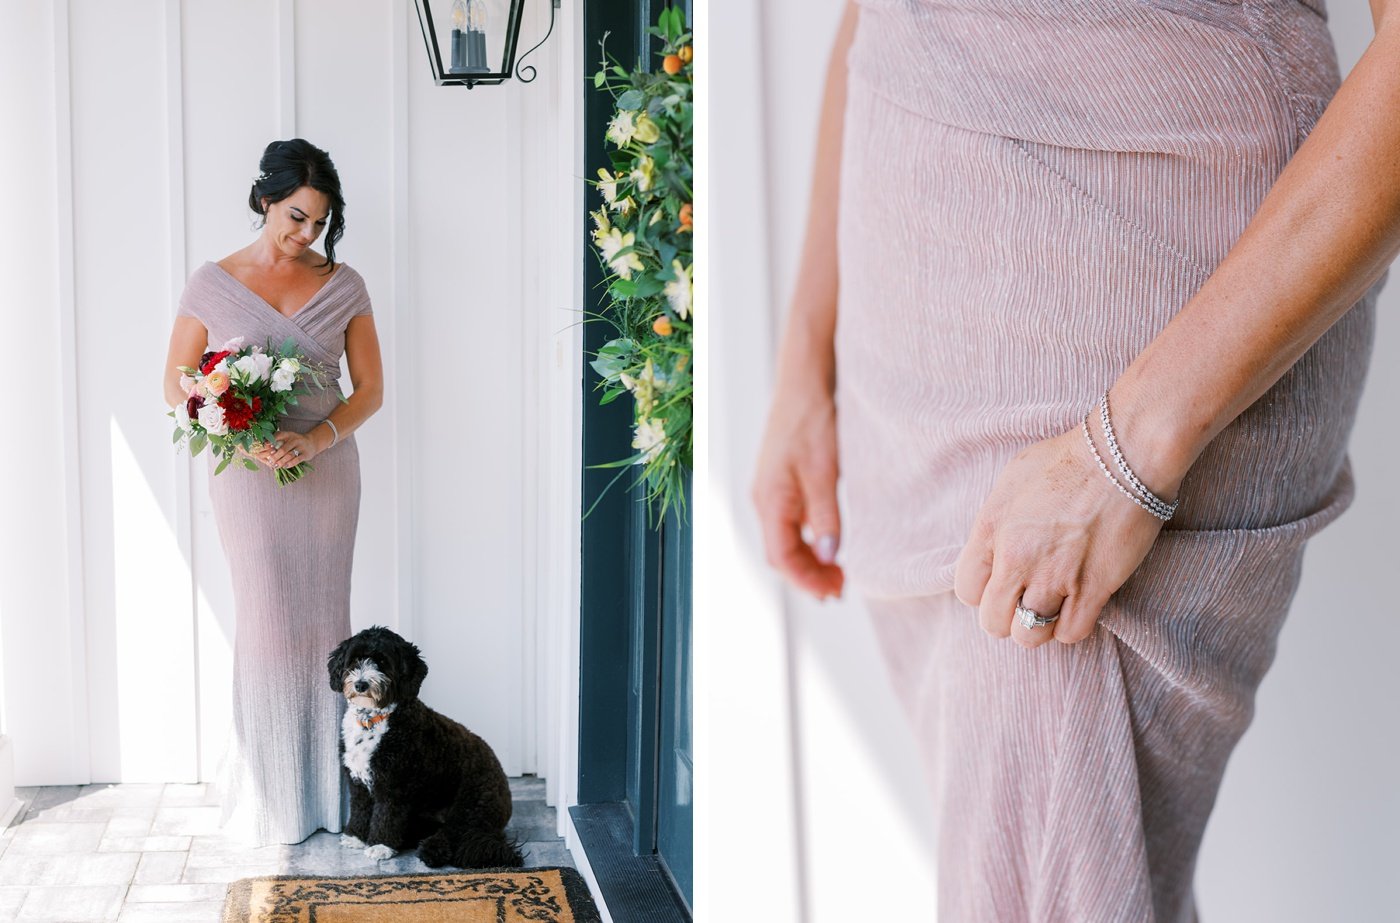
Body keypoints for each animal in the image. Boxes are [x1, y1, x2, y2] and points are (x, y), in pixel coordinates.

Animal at [327, 624, 526, 868]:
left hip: (471, 804)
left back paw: (432, 850)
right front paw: (355, 836)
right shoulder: (357, 783)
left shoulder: (394, 785)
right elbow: (359, 809)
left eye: (382, 662)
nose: (361, 684)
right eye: (355, 659)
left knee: (457, 834)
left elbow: (386, 815)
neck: (372, 720)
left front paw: (380, 845)